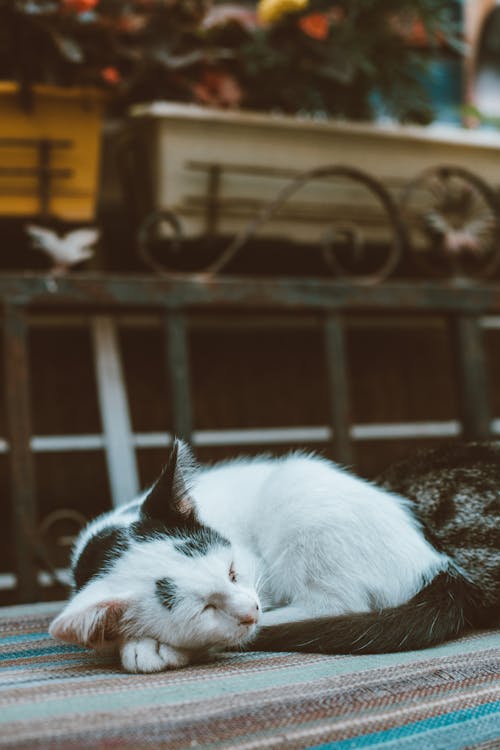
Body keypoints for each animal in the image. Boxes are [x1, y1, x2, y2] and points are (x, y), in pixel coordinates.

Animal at [48, 438, 498, 672]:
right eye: (204, 608)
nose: (251, 611)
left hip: (298, 495)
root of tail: (439, 564)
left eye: (233, 571)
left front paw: (152, 646)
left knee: (336, 605)